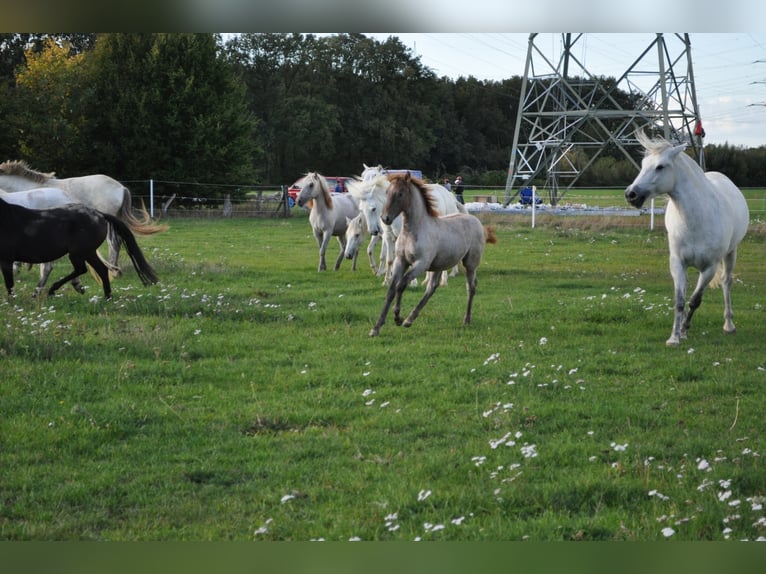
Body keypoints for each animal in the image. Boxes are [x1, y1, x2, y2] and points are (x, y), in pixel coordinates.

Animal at [370, 173, 498, 340]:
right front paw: (376, 327)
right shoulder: (401, 261)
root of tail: (477, 222)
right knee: (432, 287)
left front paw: (397, 317)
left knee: (471, 287)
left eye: (400, 194)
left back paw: (466, 319)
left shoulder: (421, 264)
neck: (414, 231)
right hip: (439, 265)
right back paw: (409, 320)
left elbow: (401, 284)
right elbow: (392, 289)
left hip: (470, 264)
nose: (385, 218)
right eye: (387, 192)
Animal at [624, 130, 752, 346]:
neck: (697, 219)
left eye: (660, 166)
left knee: (726, 283)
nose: (631, 194)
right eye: (643, 164)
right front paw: (675, 336)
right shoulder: (677, 263)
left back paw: (729, 325)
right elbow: (680, 301)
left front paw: (684, 328)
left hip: (730, 254)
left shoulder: (709, 268)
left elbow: (695, 300)